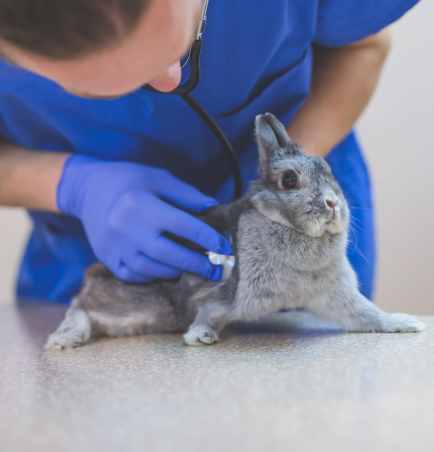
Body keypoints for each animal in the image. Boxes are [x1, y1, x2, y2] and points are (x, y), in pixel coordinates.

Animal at [45, 112, 428, 350]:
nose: (334, 204)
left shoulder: (336, 298)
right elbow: (210, 313)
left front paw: (406, 323)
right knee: (80, 306)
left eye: (328, 169)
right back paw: (63, 340)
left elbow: (367, 314)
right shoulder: (224, 293)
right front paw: (200, 337)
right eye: (290, 180)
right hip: (138, 305)